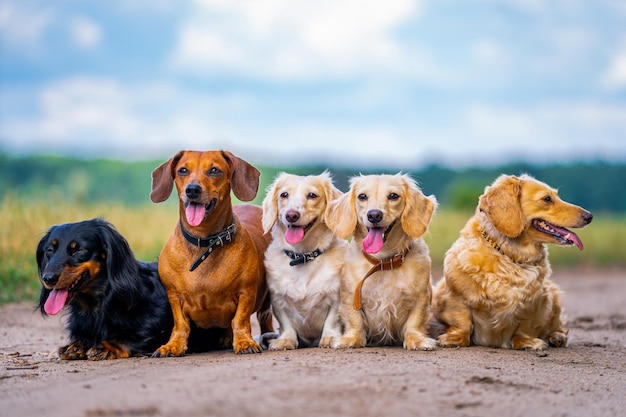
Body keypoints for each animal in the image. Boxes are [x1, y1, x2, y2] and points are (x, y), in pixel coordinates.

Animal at [36, 219, 173, 360]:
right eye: (50, 250)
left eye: (79, 250)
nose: (48, 278)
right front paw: (76, 345)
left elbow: (134, 336)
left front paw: (107, 346)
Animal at [260, 171, 346, 350]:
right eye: (284, 194)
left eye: (312, 195)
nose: (291, 215)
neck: (302, 256)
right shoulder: (278, 300)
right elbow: (286, 324)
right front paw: (285, 340)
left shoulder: (336, 297)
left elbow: (332, 320)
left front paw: (330, 338)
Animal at [324, 173, 436, 352]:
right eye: (362, 196)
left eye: (393, 196)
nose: (374, 215)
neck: (383, 261)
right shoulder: (350, 297)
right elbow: (355, 320)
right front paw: (351, 339)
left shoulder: (420, 298)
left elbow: (415, 322)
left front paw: (417, 340)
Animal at [432, 174, 592, 350]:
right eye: (547, 198)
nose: (589, 216)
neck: (511, 256)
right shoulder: (457, 297)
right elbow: (462, 322)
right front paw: (455, 338)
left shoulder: (534, 303)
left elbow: (525, 328)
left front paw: (527, 342)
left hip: (553, 296)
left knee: (557, 326)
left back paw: (556, 337)